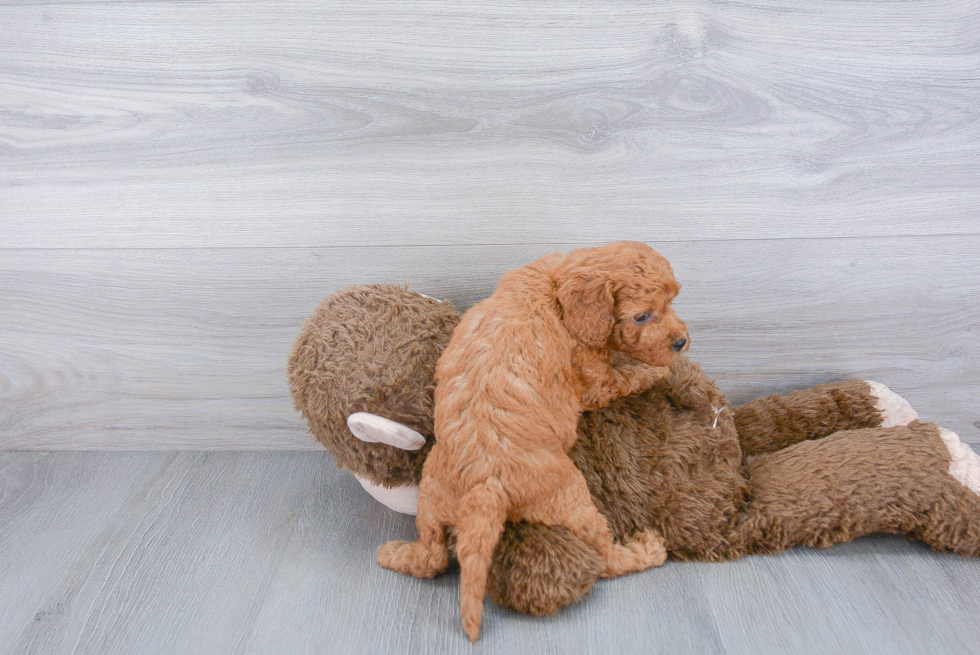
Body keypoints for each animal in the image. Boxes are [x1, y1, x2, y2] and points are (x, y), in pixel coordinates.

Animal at [376, 241, 688, 640]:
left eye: (672, 300)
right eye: (642, 316)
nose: (681, 341)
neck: (556, 287)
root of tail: (485, 486)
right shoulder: (596, 381)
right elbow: (628, 376)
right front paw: (660, 369)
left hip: (431, 493)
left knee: (432, 556)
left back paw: (395, 554)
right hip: (570, 495)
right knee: (606, 558)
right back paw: (645, 550)